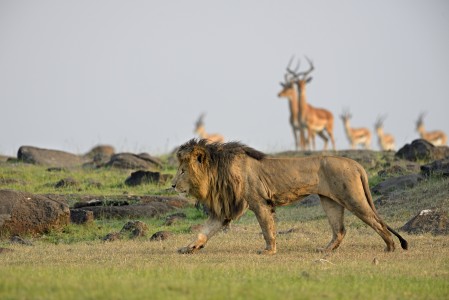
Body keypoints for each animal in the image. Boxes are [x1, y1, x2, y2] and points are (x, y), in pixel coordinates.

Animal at [171, 139, 406, 254]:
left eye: (182, 171)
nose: (172, 185)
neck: (217, 172)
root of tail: (356, 164)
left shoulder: (259, 202)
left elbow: (267, 229)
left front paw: (269, 251)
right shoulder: (225, 209)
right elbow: (204, 231)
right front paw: (189, 247)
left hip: (353, 198)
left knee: (378, 222)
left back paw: (390, 247)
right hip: (330, 201)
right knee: (340, 230)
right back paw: (325, 250)